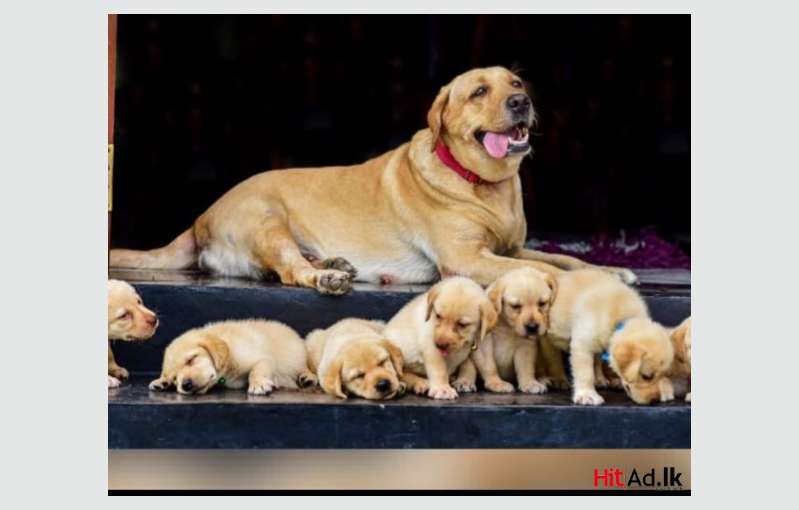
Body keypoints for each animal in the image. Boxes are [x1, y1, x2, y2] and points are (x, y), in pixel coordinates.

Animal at [111, 66, 636, 294]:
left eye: (517, 84)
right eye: (479, 92)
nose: (521, 102)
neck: (485, 185)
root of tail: (200, 216)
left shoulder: (512, 248)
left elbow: (563, 258)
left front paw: (610, 271)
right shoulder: (467, 259)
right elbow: (548, 272)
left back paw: (334, 262)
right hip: (266, 219)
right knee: (290, 271)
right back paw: (326, 275)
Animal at [148, 320, 318, 396]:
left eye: (191, 359)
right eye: (175, 378)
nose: (185, 385)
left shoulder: (261, 358)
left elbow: (257, 369)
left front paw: (259, 384)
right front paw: (162, 381)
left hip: (300, 355)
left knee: (306, 367)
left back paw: (307, 377)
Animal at [478, 266, 560, 394]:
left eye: (542, 303)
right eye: (515, 306)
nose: (532, 327)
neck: (508, 327)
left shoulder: (525, 346)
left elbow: (525, 367)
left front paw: (529, 383)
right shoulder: (485, 342)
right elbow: (489, 365)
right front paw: (496, 383)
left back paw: (543, 379)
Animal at [540, 268, 680, 404]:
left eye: (664, 374)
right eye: (647, 376)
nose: (654, 400)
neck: (620, 319)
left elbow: (597, 363)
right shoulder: (582, 345)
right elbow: (586, 373)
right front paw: (587, 394)